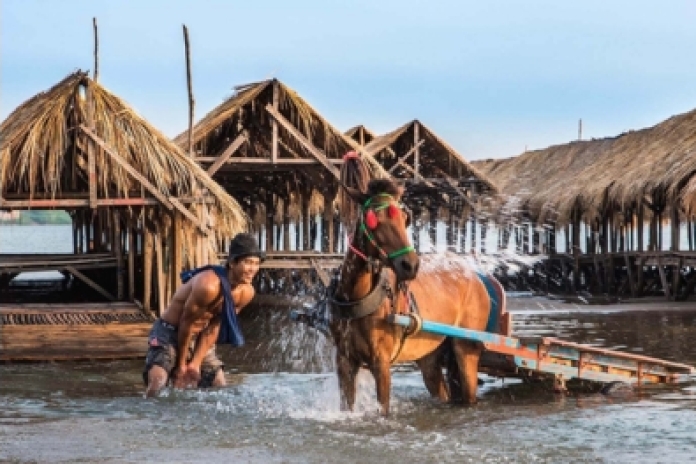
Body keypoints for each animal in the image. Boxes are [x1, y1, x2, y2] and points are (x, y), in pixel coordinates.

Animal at [328, 154, 498, 416]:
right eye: (373, 220)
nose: (411, 265)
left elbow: (384, 409)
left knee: (469, 390)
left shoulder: (381, 362)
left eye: (404, 218)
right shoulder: (344, 360)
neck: (358, 296)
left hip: (467, 347)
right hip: (430, 354)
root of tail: (477, 277)